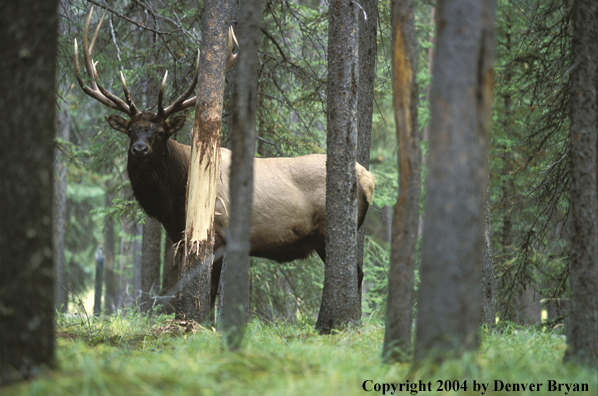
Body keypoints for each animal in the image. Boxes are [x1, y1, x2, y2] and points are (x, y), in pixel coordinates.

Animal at [75, 6, 376, 310]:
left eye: (160, 133)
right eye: (131, 131)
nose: (139, 149)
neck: (172, 200)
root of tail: (370, 179)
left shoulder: (217, 234)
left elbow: (209, 291)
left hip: (329, 231)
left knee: (358, 274)